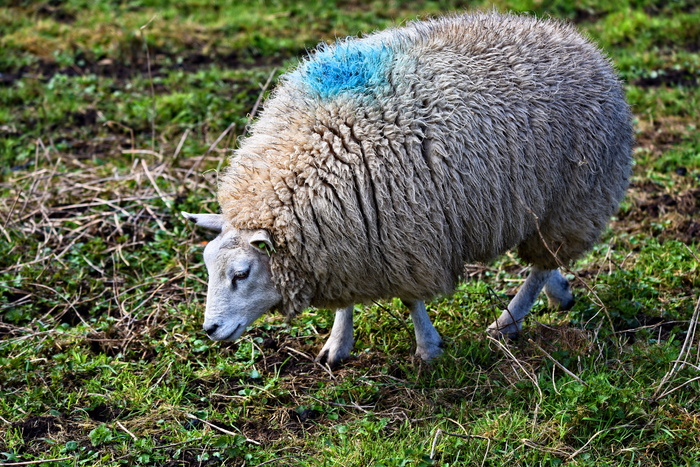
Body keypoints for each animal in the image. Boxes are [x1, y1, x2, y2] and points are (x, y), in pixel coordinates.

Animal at [183, 11, 632, 368]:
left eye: (241, 274)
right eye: (207, 266)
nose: (210, 329)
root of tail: (573, 39)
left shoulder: (406, 238)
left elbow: (411, 300)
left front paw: (428, 348)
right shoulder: (347, 238)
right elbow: (347, 302)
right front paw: (337, 344)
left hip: (574, 198)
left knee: (539, 265)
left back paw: (508, 321)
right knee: (546, 261)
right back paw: (559, 293)